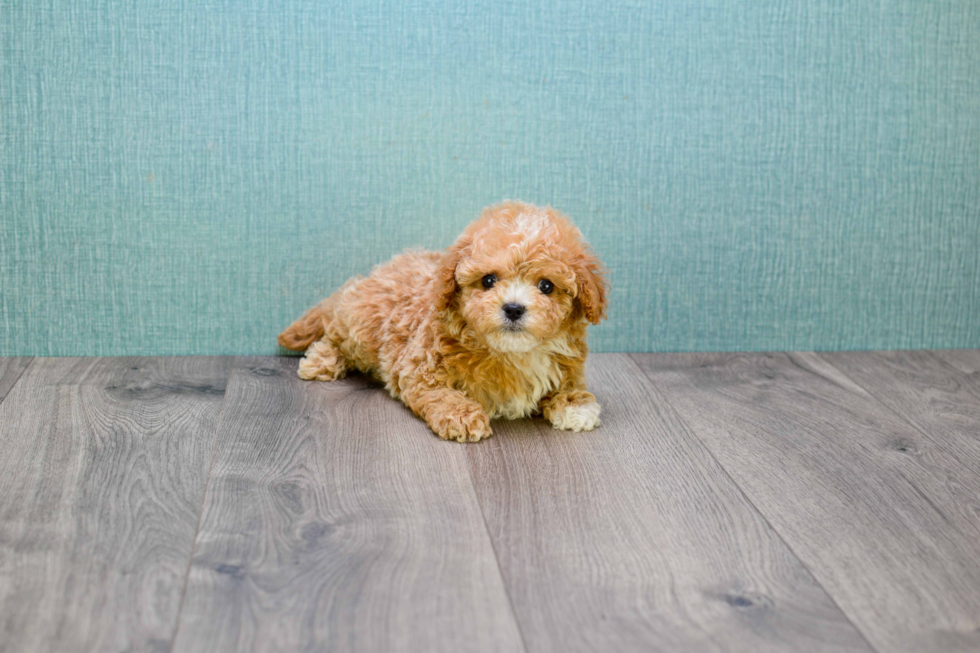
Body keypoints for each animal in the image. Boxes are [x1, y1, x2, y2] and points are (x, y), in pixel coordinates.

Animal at [280, 201, 608, 440]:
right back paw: (321, 360)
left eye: (546, 286)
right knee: (335, 335)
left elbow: (567, 386)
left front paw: (575, 405)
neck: (512, 353)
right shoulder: (420, 369)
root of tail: (375, 273)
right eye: (488, 280)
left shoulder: (565, 365)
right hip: (363, 324)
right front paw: (462, 416)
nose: (514, 308)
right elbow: (440, 394)